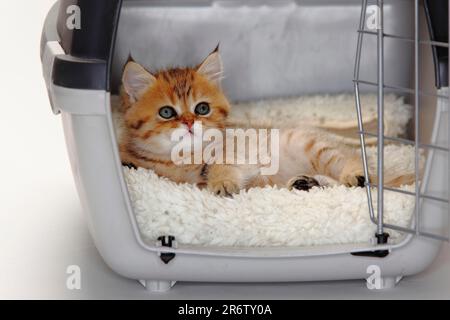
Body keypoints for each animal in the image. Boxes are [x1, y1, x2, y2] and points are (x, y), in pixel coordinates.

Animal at [118, 47, 414, 195]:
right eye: (167, 113)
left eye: (202, 108)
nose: (190, 123)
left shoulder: (232, 151)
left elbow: (221, 166)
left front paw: (221, 182)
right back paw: (305, 183)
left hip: (314, 145)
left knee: (351, 164)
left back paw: (354, 174)